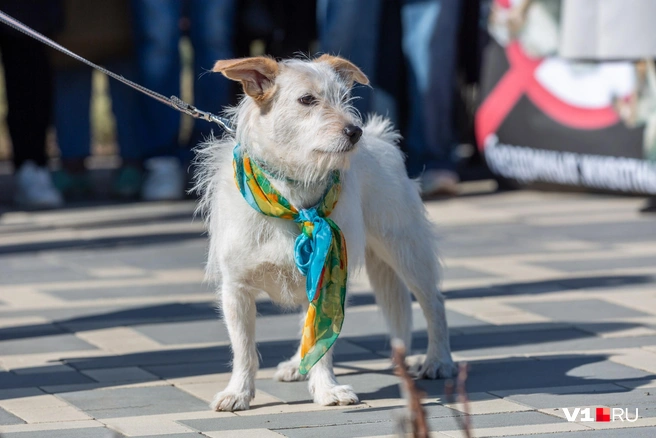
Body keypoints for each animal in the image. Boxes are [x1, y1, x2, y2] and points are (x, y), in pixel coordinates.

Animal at [196, 54, 456, 410]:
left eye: (345, 98)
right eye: (307, 100)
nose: (355, 131)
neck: (294, 197)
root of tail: (380, 137)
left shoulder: (329, 276)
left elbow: (324, 342)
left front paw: (327, 389)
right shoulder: (236, 289)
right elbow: (244, 349)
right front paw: (238, 392)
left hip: (406, 250)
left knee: (434, 303)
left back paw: (438, 360)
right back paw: (297, 364)